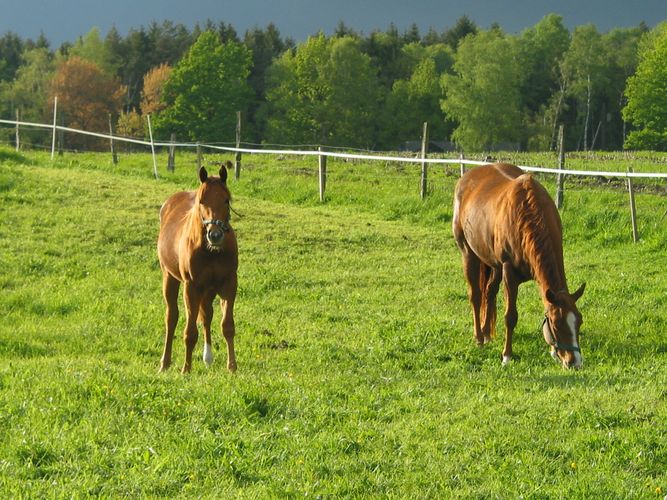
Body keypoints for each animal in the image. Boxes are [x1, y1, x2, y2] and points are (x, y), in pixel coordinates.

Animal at [157, 162, 240, 374]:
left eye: (226, 200)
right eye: (201, 201)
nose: (215, 235)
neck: (211, 251)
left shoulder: (229, 284)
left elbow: (227, 326)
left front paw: (232, 367)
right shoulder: (192, 287)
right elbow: (190, 331)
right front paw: (186, 369)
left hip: (208, 290)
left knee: (206, 315)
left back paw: (207, 358)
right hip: (169, 277)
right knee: (172, 317)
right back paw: (164, 363)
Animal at [452, 163, 588, 368]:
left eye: (579, 321)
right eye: (556, 324)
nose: (574, 362)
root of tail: (465, 179)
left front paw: (552, 351)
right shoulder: (509, 273)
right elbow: (510, 316)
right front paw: (507, 355)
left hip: (494, 265)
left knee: (489, 292)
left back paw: (486, 333)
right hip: (469, 254)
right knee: (475, 296)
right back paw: (479, 337)